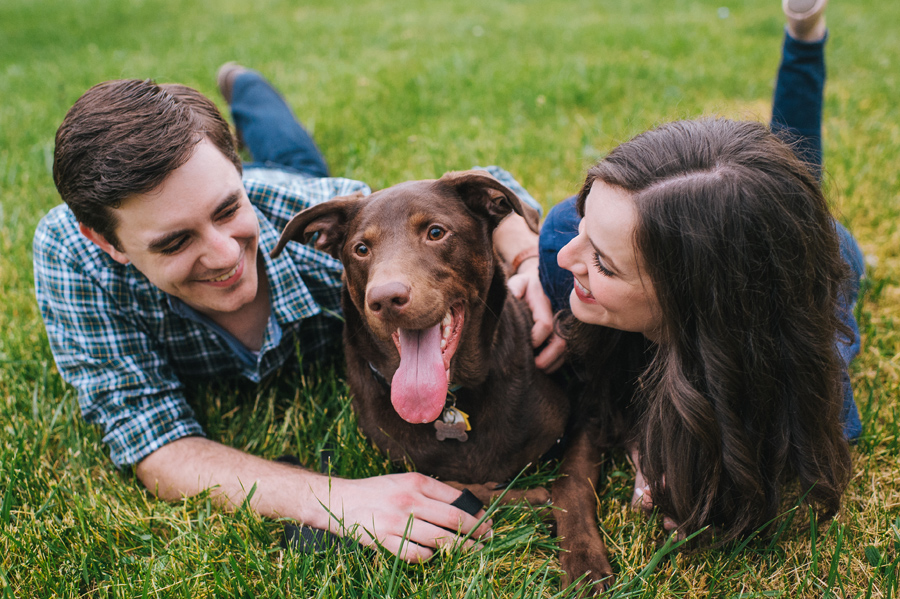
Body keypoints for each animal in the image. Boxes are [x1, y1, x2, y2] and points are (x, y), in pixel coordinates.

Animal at [270, 169, 616, 592]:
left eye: (435, 232)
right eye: (361, 248)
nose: (385, 298)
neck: (453, 399)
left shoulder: (590, 407)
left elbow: (573, 482)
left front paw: (584, 562)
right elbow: (441, 484)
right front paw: (525, 495)